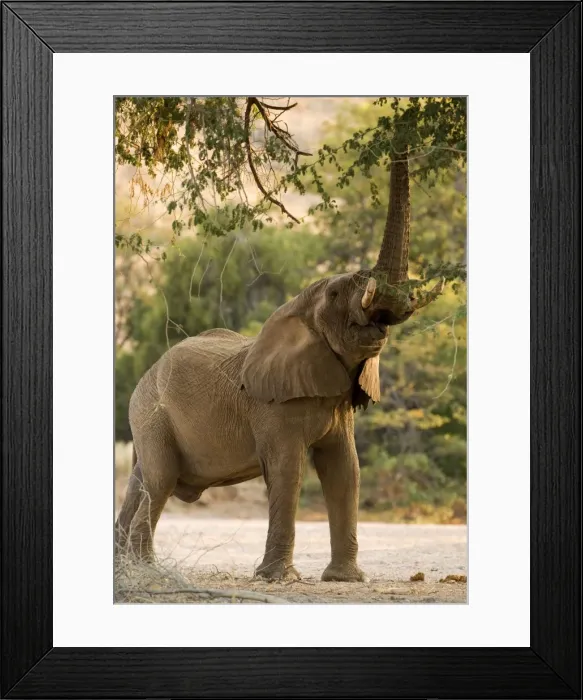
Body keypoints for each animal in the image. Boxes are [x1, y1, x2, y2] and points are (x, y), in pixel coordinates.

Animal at [115, 154, 444, 581]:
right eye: (336, 293)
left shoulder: (337, 402)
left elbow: (345, 470)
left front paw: (344, 579)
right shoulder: (271, 407)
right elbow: (289, 469)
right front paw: (277, 578)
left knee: (140, 480)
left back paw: (122, 565)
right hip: (151, 414)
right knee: (160, 480)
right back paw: (145, 570)